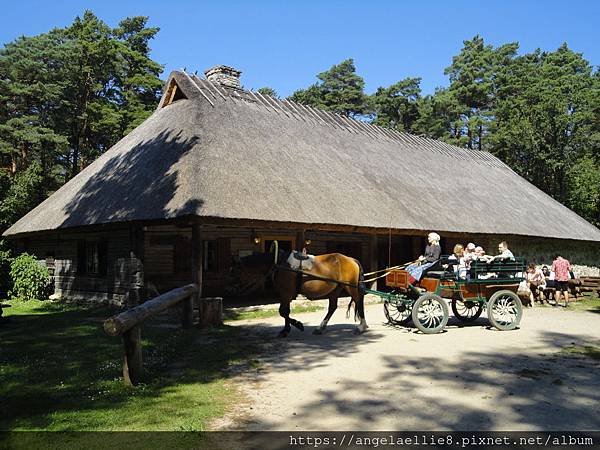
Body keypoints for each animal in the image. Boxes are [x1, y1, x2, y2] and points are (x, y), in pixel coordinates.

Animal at [233, 251, 366, 336]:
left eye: (234, 271)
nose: (232, 289)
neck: (280, 264)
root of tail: (351, 259)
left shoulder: (286, 293)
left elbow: (283, 312)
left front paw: (296, 325)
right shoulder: (284, 294)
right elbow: (285, 311)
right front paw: (286, 329)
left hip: (350, 287)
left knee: (359, 302)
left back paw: (362, 326)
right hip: (335, 289)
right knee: (332, 307)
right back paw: (320, 328)